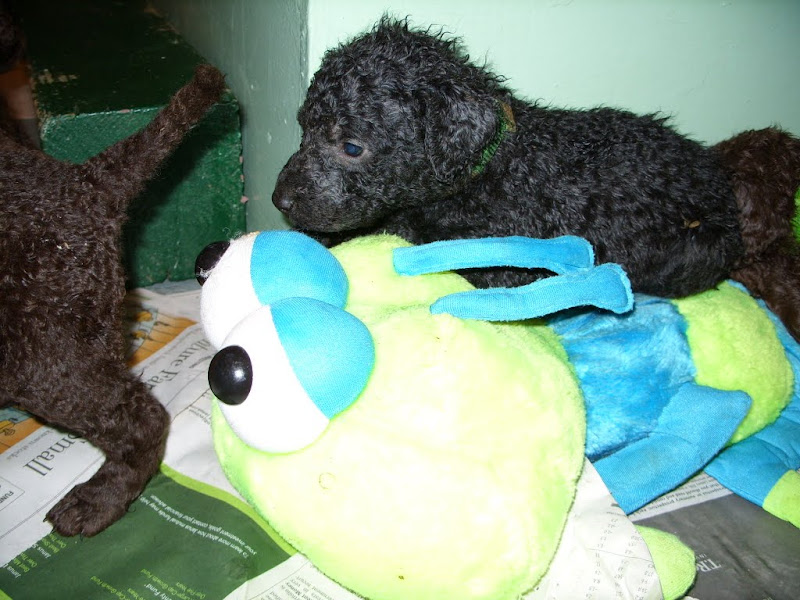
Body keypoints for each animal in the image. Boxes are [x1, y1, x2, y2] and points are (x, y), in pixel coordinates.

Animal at [273, 17, 796, 332]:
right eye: (302, 128)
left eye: (351, 147)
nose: (279, 201)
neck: (488, 166)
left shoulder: (504, 266)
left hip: (689, 251)